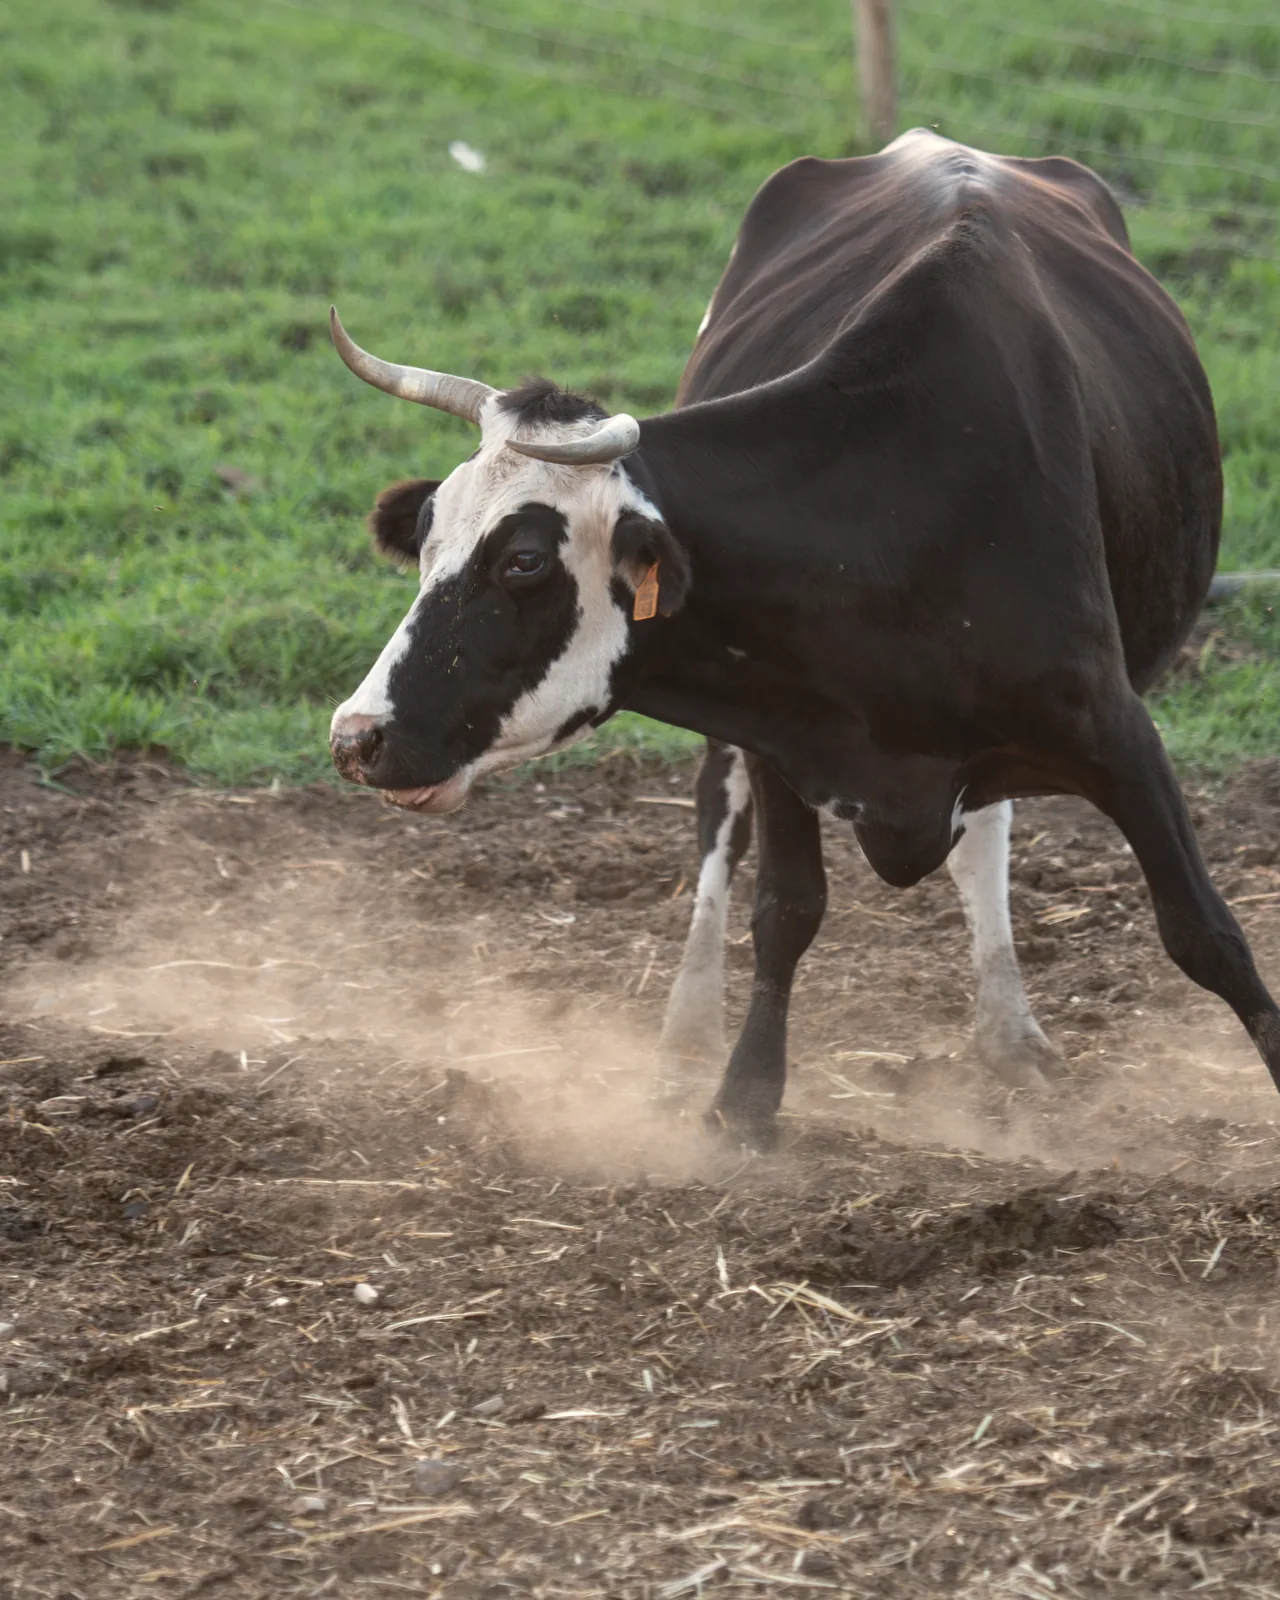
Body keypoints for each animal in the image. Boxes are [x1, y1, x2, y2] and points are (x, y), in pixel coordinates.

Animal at [328, 128, 1280, 1149]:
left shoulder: (1116, 728)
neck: (900, 512)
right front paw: (745, 1096)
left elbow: (1206, 933)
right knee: (719, 823)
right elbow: (786, 908)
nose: (356, 736)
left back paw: (1009, 1032)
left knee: (986, 830)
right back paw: (690, 1023)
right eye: (427, 538)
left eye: (523, 562)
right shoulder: (777, 722)